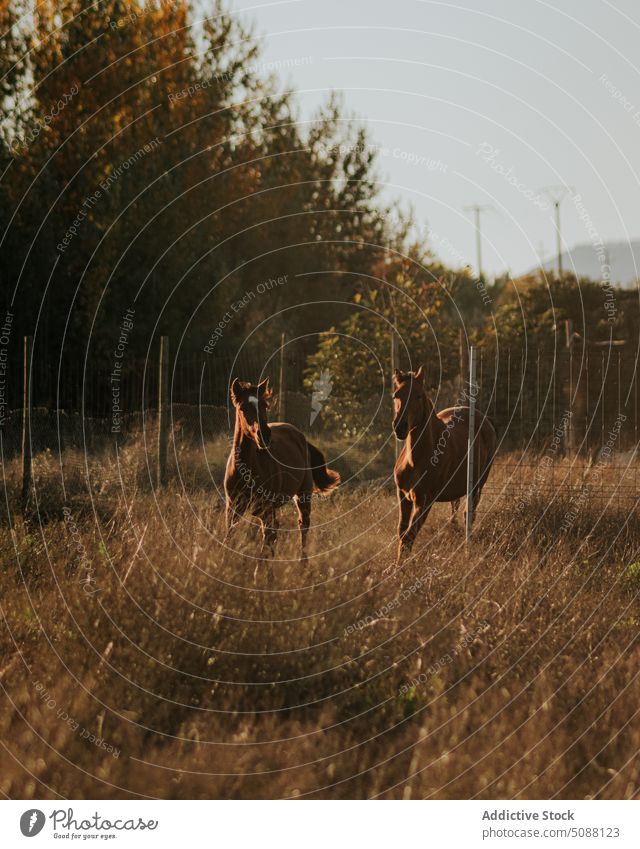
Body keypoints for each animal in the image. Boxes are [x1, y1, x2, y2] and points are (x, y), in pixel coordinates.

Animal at [222, 376, 340, 556]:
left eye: (265, 405)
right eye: (242, 408)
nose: (264, 435)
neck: (247, 469)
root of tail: (301, 438)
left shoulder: (266, 509)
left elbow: (265, 547)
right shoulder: (233, 508)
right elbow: (229, 537)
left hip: (302, 496)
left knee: (302, 526)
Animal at [392, 364, 498, 564]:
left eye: (418, 395)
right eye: (396, 395)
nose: (400, 428)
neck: (415, 459)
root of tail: (485, 420)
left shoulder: (425, 501)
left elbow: (408, 536)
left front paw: (400, 568)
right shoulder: (403, 496)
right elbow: (401, 532)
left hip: (477, 485)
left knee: (468, 515)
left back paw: (467, 547)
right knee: (456, 509)